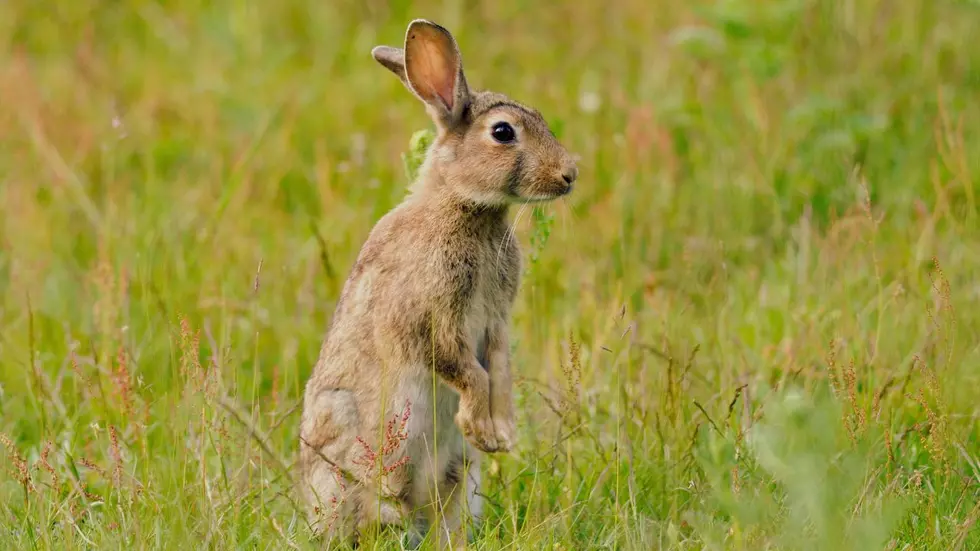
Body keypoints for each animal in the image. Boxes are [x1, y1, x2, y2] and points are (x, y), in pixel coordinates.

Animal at [298, 18, 578, 549]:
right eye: (503, 132)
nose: (570, 175)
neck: (464, 206)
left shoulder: (495, 321)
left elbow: (500, 369)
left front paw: (500, 434)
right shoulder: (432, 319)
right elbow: (470, 372)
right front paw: (482, 428)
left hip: (460, 481)